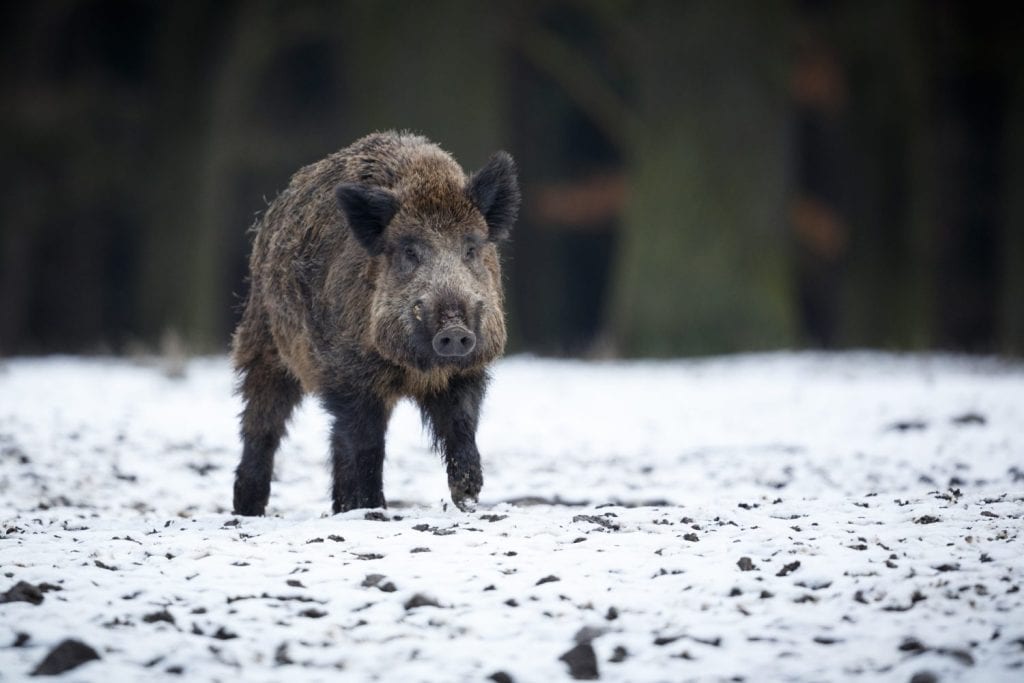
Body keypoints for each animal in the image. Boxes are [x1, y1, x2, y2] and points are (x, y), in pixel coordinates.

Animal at [231, 131, 519, 515]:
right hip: (263, 342)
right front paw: (371, 508)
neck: (414, 369)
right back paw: (249, 508)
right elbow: (367, 443)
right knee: (263, 422)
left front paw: (467, 496)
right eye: (409, 252)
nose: (454, 329)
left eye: (471, 248)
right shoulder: (348, 373)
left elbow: (461, 425)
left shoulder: (467, 371)